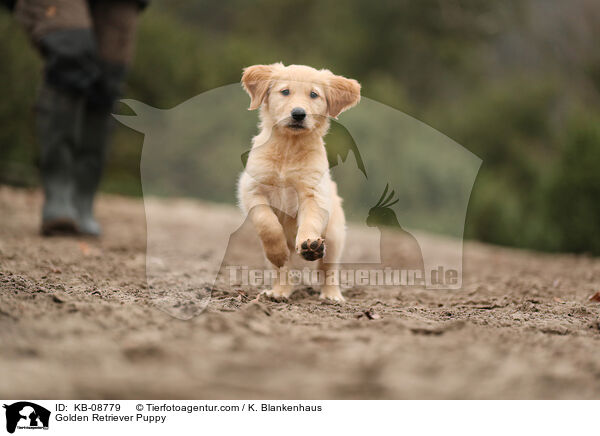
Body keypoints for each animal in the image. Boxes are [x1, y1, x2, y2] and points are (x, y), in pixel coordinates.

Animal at [238, 62, 360, 300]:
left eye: (314, 94)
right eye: (285, 91)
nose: (298, 114)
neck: (288, 147)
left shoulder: (314, 194)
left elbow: (310, 221)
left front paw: (308, 244)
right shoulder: (252, 189)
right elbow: (266, 222)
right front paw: (277, 252)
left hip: (335, 235)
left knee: (328, 268)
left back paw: (331, 295)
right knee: (282, 269)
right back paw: (278, 292)